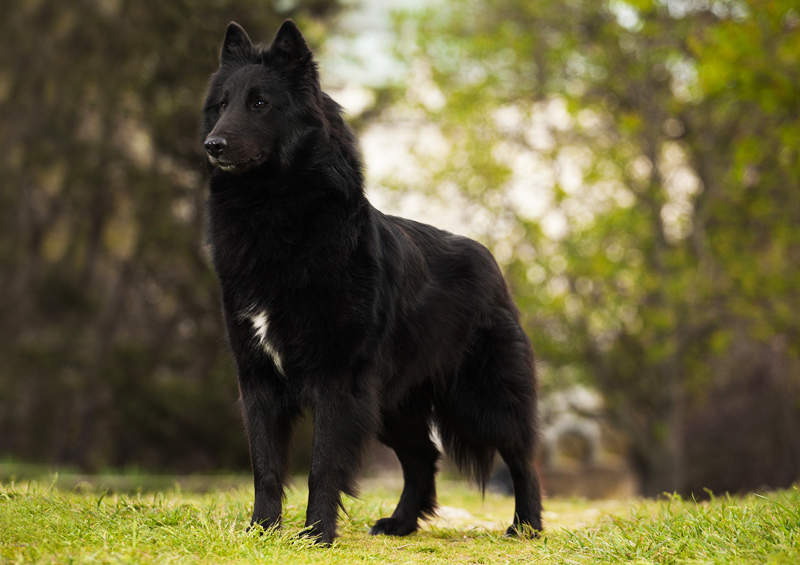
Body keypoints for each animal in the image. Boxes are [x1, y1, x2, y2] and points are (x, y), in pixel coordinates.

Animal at [202, 19, 544, 544]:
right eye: (222, 105)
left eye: (259, 103)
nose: (212, 146)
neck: (275, 213)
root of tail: (488, 257)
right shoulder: (258, 378)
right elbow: (265, 465)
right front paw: (261, 530)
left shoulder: (337, 381)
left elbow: (323, 466)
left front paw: (316, 535)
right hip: (392, 405)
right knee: (424, 456)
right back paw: (402, 523)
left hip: (480, 398)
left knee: (522, 457)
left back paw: (526, 526)